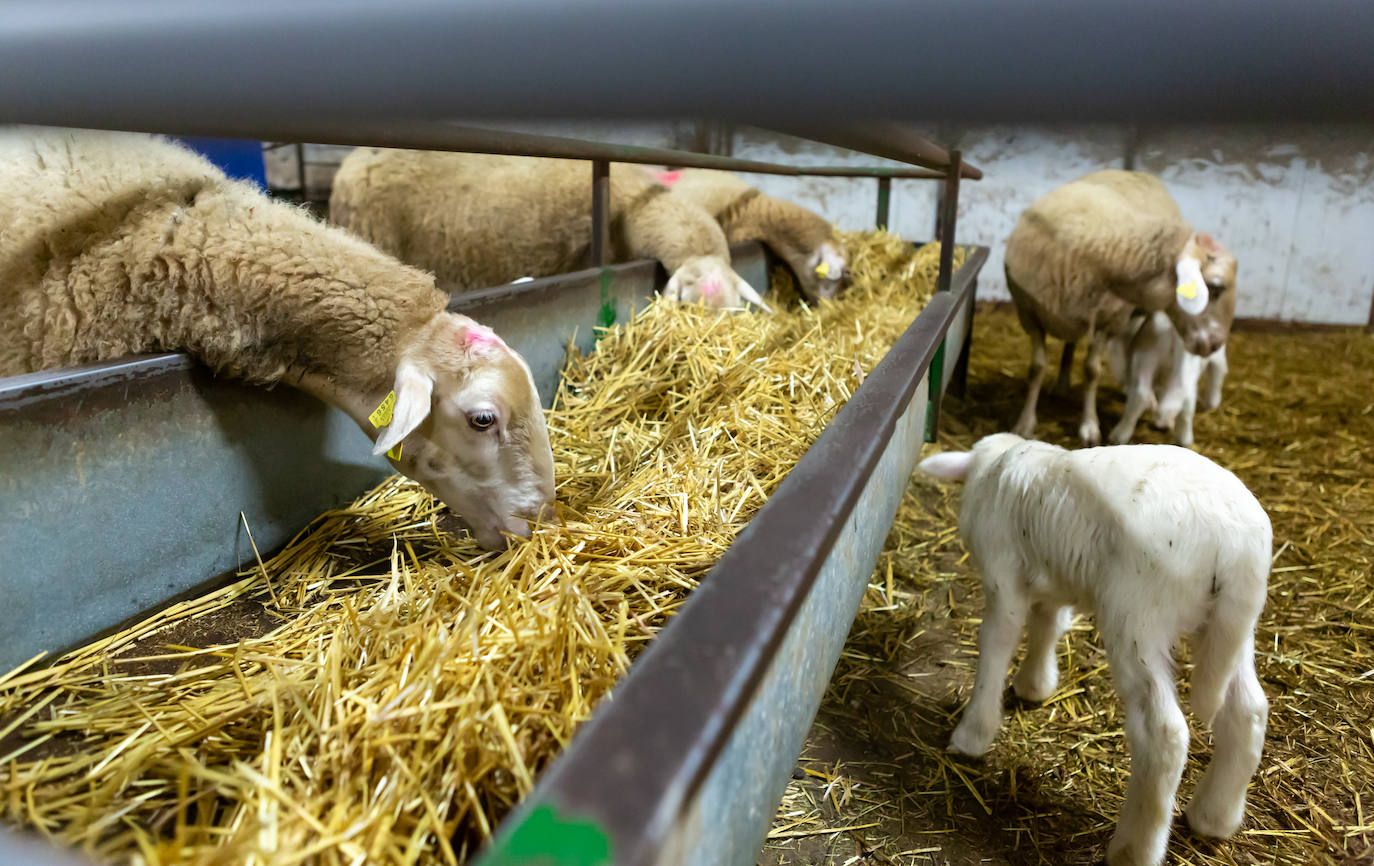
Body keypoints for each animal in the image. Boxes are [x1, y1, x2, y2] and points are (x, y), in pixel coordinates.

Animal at [917, 437, 1269, 866]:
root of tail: (1235, 546)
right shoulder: (1053, 577)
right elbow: (1049, 623)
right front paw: (1035, 684)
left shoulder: (1003, 576)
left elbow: (998, 642)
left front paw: (972, 734)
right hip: (1229, 627)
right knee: (1247, 711)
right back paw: (1214, 816)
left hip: (1137, 615)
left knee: (1164, 735)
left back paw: (1133, 849)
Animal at [1005, 173, 1242, 450]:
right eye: (1216, 288)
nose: (1215, 345)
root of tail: (1135, 173)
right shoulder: (1028, 314)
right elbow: (1037, 368)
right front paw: (1024, 423)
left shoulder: (1109, 321)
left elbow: (1092, 371)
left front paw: (1089, 426)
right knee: (1072, 343)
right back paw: (1064, 384)